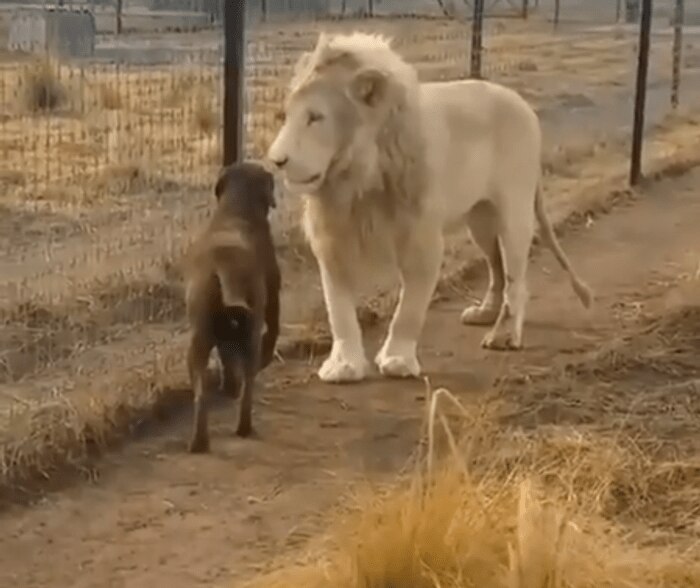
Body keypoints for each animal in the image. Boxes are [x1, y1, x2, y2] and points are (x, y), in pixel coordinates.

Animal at [183, 158, 282, 452]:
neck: (236, 209)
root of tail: (223, 264)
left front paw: (230, 386)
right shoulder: (272, 298)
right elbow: (274, 329)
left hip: (199, 341)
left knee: (201, 395)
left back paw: (200, 441)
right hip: (250, 334)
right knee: (249, 382)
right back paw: (243, 427)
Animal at [266, 31, 592, 382]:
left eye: (315, 117)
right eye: (286, 116)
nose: (276, 160)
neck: (357, 180)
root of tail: (523, 105)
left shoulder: (421, 239)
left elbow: (409, 309)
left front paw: (397, 359)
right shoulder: (334, 239)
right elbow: (337, 309)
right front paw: (343, 365)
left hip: (513, 213)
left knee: (516, 279)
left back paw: (504, 334)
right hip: (480, 221)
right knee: (497, 268)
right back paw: (484, 313)